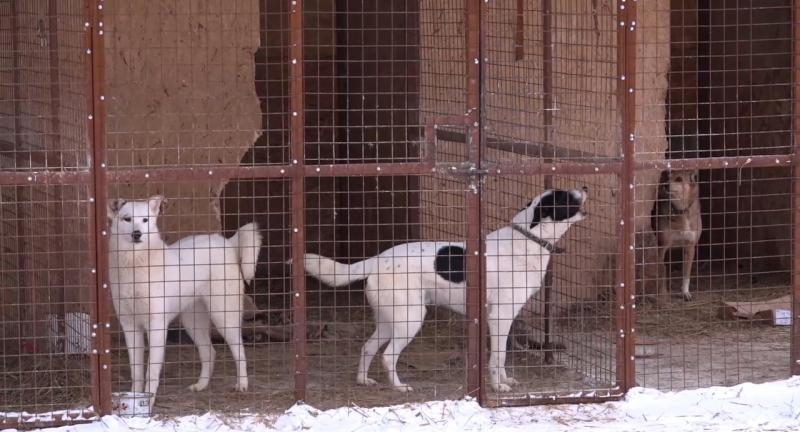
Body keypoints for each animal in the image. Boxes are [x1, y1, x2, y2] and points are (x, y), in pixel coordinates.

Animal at [106, 197, 260, 406]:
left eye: (145, 220)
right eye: (127, 219)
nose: (137, 234)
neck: (135, 262)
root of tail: (225, 242)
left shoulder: (156, 326)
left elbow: (151, 372)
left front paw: (149, 402)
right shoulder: (130, 326)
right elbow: (136, 371)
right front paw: (135, 399)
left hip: (223, 317)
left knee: (239, 351)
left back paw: (242, 384)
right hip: (192, 322)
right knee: (209, 352)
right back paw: (201, 385)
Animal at [294, 187, 588, 394]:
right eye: (566, 196)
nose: (585, 186)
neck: (530, 240)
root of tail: (379, 259)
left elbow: (501, 358)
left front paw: (505, 380)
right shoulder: (500, 318)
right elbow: (498, 357)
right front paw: (497, 386)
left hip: (391, 320)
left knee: (367, 348)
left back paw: (363, 380)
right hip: (411, 320)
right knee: (388, 356)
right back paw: (399, 387)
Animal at [648, 170, 700, 300]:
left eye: (679, 179)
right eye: (668, 177)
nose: (665, 185)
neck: (681, 212)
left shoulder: (690, 247)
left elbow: (686, 274)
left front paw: (685, 292)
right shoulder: (662, 246)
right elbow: (660, 270)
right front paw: (660, 292)